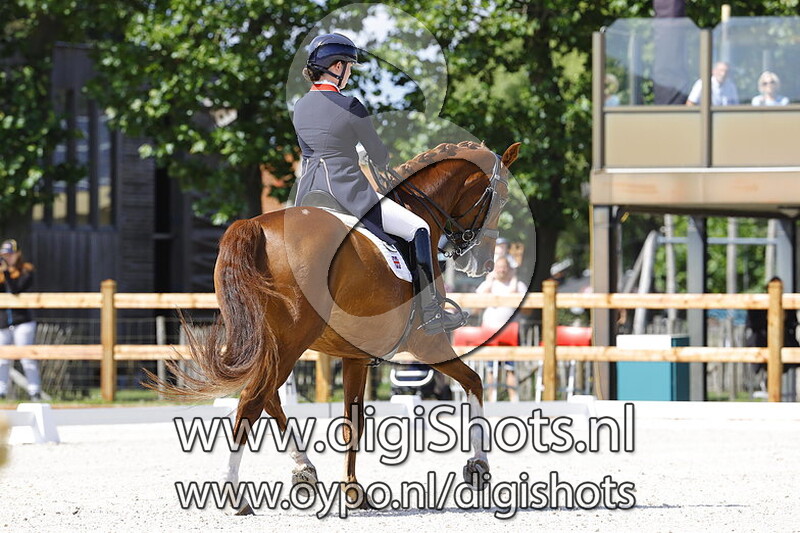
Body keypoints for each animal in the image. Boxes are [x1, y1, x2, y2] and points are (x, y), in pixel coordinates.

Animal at [155, 140, 521, 513]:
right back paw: (234, 493)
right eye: (504, 195)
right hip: (291, 342)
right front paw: (478, 466)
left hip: (271, 343)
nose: (483, 264)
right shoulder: (426, 343)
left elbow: (352, 423)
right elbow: (474, 382)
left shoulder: (356, 356)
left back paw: (303, 468)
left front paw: (353, 489)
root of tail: (255, 226)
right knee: (253, 401)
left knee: (268, 398)